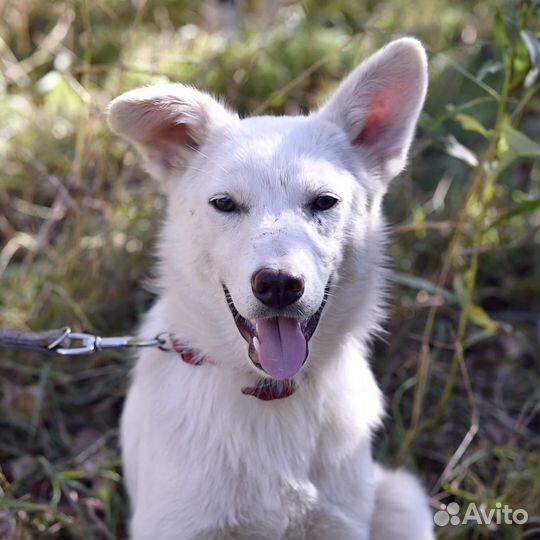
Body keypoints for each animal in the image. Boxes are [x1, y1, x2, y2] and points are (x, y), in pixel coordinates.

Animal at [108, 38, 434, 540]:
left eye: (324, 202)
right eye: (224, 203)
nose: (279, 285)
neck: (270, 394)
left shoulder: (340, 523)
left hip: (401, 498)